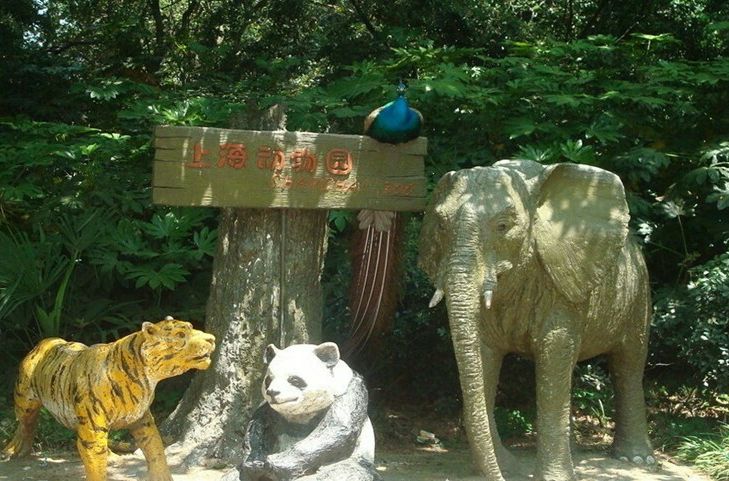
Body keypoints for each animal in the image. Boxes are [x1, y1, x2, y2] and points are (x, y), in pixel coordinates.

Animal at [1, 316, 215, 478]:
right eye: (180, 335)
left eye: (191, 327)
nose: (212, 338)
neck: (145, 377)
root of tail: (45, 341)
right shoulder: (92, 431)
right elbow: (96, 466)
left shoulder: (143, 422)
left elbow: (157, 454)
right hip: (24, 399)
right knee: (25, 423)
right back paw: (14, 449)